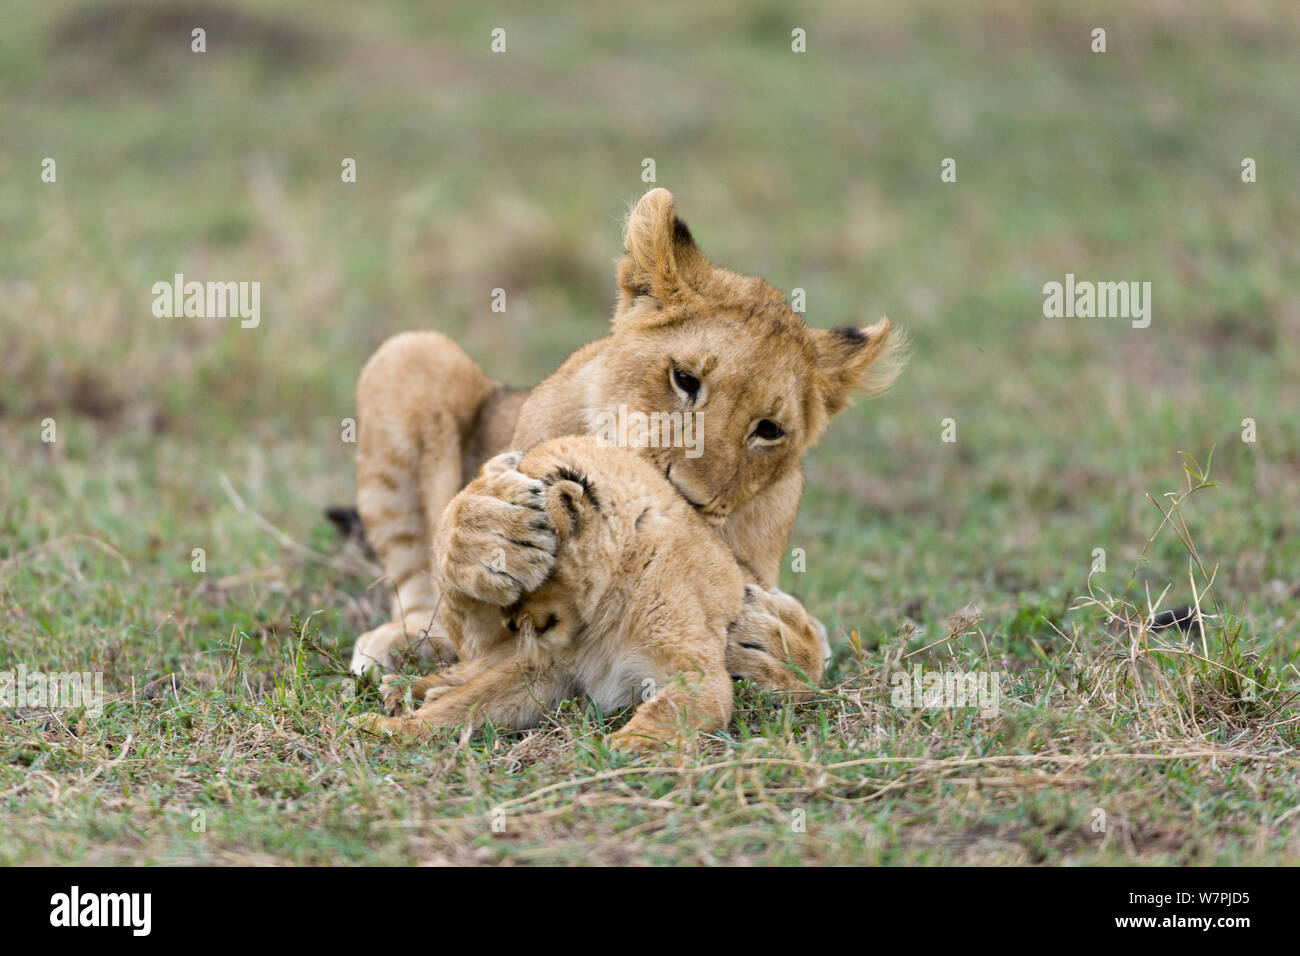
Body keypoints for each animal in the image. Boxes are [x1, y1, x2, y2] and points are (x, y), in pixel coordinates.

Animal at [346, 187, 904, 701]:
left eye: (768, 429)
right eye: (685, 379)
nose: (691, 498)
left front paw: (776, 644)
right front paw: (489, 533)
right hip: (412, 353)